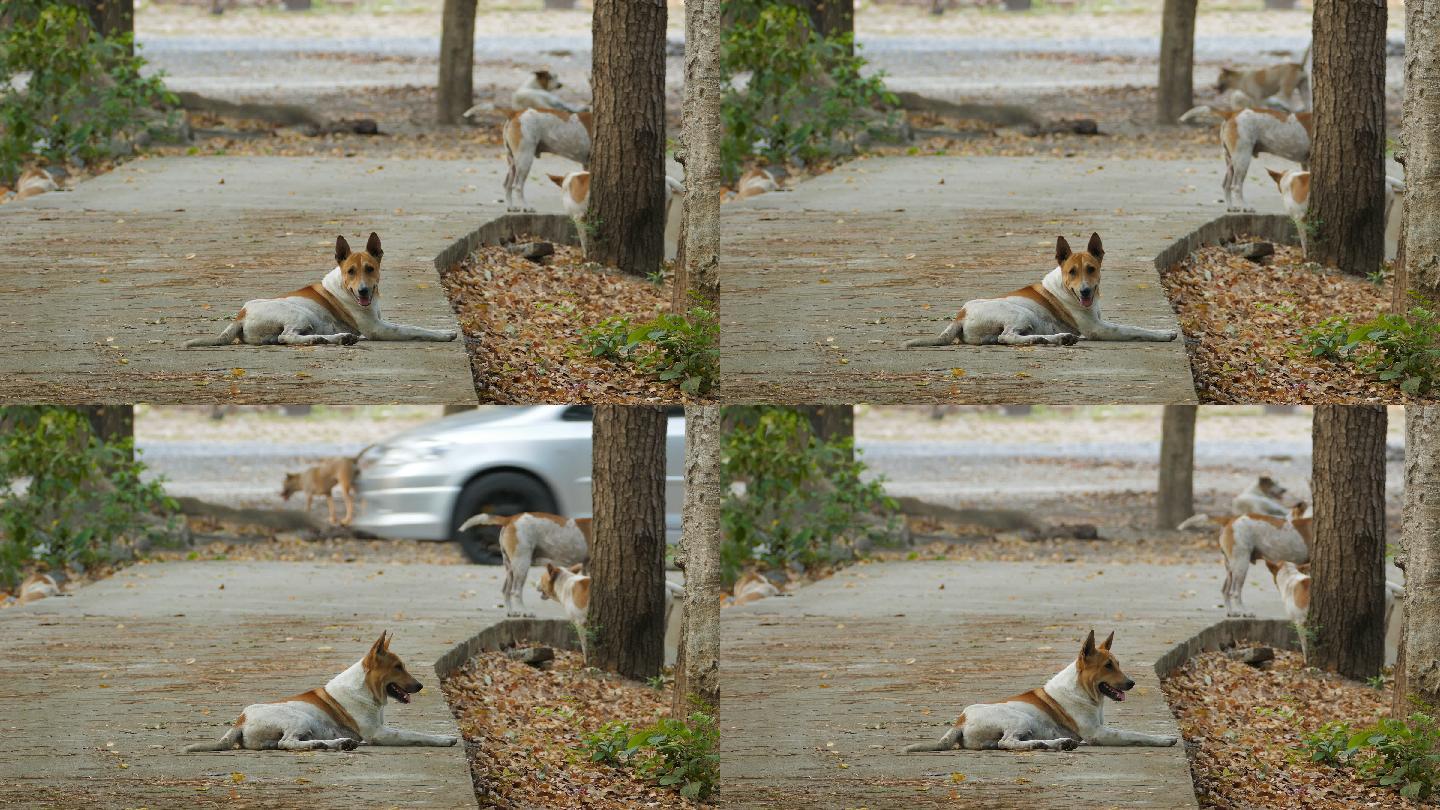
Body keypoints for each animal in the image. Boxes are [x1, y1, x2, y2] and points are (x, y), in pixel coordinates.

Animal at [182, 631, 455, 749]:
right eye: (398, 667)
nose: (420, 686)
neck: (364, 689)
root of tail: (240, 720)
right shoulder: (378, 733)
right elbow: (416, 734)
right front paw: (444, 739)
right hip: (299, 718)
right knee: (287, 744)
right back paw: (326, 745)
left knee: (283, 744)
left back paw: (338, 743)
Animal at [457, 510, 587, 611]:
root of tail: (510, 518)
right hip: (522, 565)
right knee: (516, 592)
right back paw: (524, 613)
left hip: (511, 568)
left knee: (506, 590)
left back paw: (512, 613)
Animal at [898, 631, 1180, 749]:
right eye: (1108, 666)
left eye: (1118, 664)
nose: (1131, 683)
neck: (1081, 691)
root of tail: (961, 720)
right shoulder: (1097, 733)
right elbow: (1134, 734)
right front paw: (1163, 739)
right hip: (1019, 718)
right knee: (1008, 744)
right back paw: (1051, 744)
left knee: (1003, 744)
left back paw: (1057, 744)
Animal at [904, 232, 1175, 348]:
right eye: (1072, 272)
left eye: (1091, 269)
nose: (1085, 292)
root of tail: (960, 315)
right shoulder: (1098, 329)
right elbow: (1135, 329)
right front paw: (1164, 333)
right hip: (1019, 313)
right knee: (1008, 337)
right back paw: (1054, 339)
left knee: (1004, 339)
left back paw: (1057, 338)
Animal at [1175, 104, 1313, 211]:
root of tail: (1232, 113)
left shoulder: (1304, 163)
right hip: (1243, 159)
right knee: (1236, 186)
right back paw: (1245, 207)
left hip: (1231, 161)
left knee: (1226, 184)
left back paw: (1231, 207)